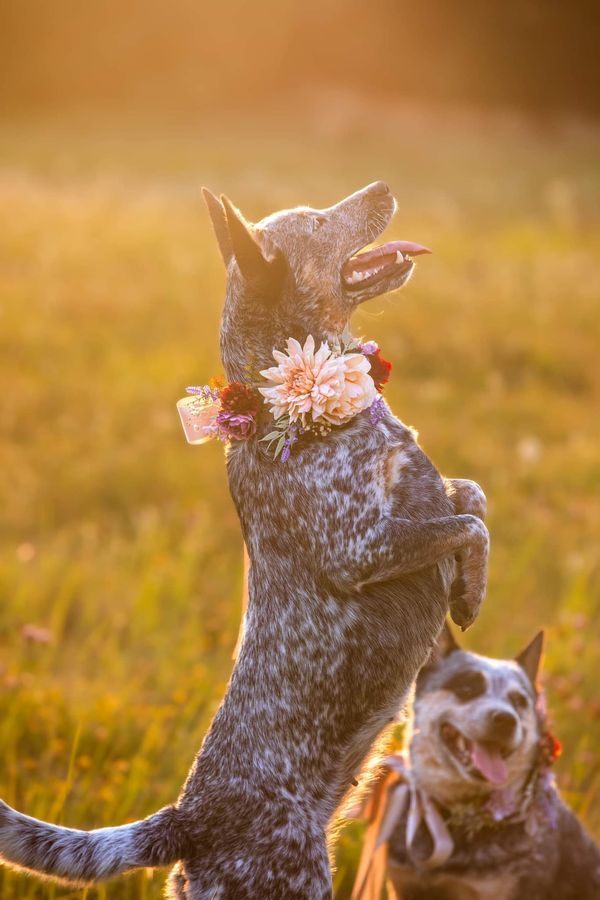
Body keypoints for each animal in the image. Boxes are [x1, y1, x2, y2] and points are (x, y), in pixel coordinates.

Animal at [0, 179, 490, 896]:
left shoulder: (420, 502)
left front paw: (469, 590)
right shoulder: (362, 548)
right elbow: (467, 523)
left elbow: (471, 496)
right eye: (316, 221)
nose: (382, 187)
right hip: (294, 875)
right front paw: (469, 591)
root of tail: (187, 820)